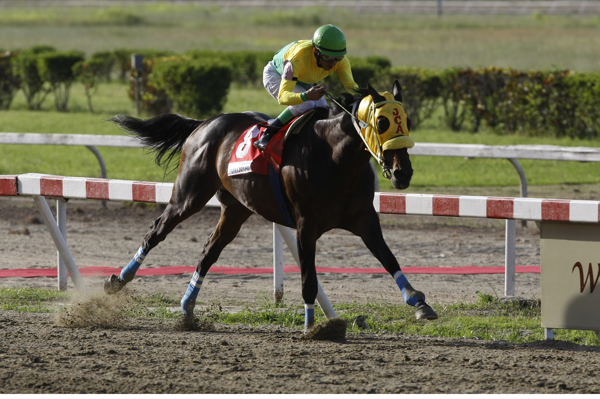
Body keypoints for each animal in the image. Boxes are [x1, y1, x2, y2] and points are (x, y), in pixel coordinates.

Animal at [105, 80, 438, 332]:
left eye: (407, 121)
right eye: (381, 122)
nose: (403, 173)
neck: (335, 158)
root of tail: (204, 123)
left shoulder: (364, 219)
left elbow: (389, 258)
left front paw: (420, 303)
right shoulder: (306, 225)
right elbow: (308, 279)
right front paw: (312, 327)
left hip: (236, 209)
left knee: (208, 252)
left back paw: (187, 308)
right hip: (189, 196)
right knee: (156, 232)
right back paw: (118, 281)